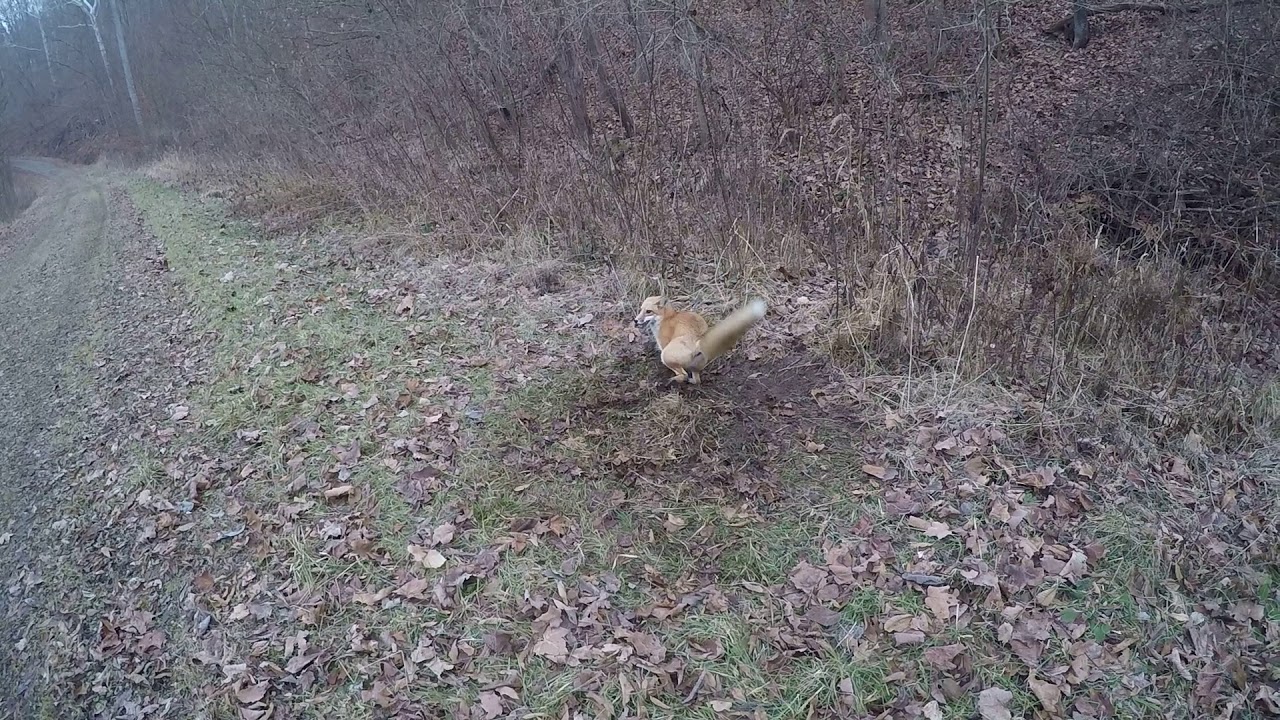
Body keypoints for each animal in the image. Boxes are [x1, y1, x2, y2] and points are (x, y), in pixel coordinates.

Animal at [633, 295, 767, 385]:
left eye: (648, 311)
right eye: (640, 309)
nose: (635, 321)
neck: (666, 318)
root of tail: (699, 341)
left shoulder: (664, 343)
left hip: (665, 355)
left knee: (683, 375)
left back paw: (674, 380)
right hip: (695, 366)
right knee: (697, 380)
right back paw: (690, 381)